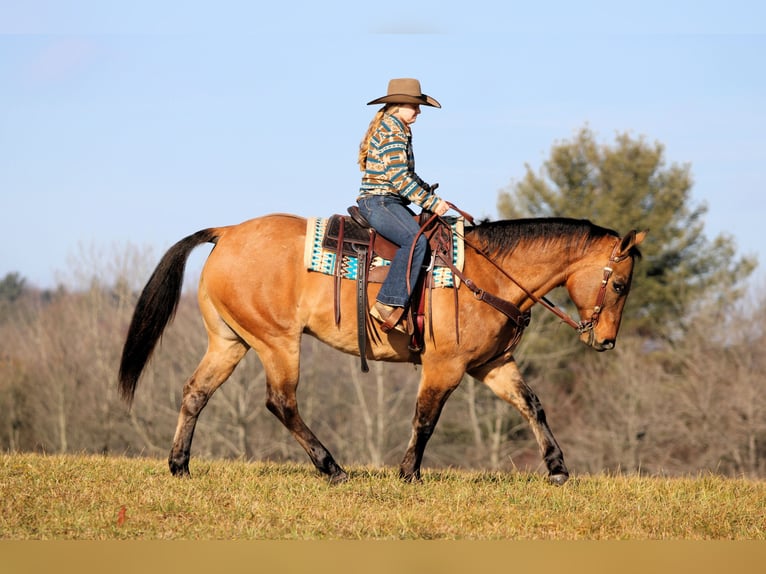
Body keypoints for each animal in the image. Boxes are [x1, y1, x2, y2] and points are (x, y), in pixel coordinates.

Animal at [118, 213, 645, 486]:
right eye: (620, 284)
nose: (605, 340)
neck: (486, 273)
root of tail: (227, 232)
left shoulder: (493, 364)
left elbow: (532, 405)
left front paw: (557, 468)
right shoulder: (444, 366)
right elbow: (425, 419)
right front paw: (409, 473)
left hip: (229, 342)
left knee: (195, 393)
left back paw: (180, 465)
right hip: (277, 343)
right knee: (281, 403)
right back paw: (331, 467)